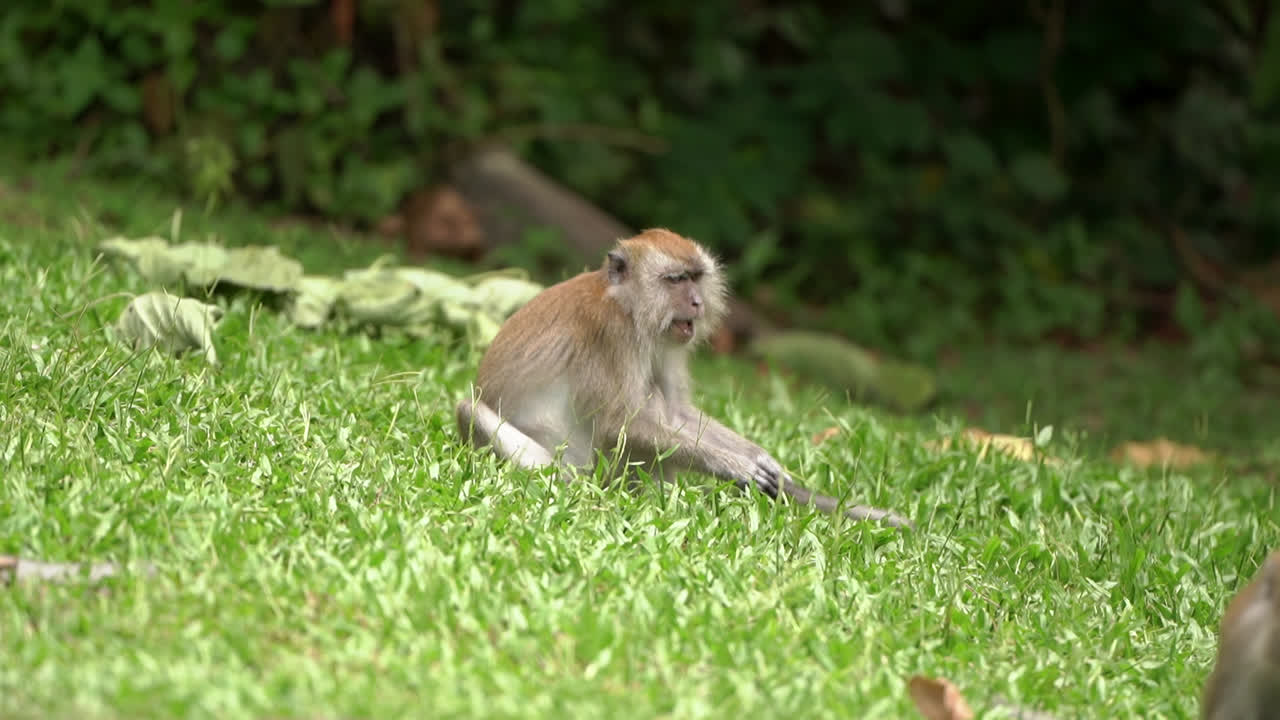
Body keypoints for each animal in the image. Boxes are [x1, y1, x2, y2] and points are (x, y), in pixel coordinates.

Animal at [454, 228, 912, 530]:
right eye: (674, 280)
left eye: (695, 278)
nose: (695, 302)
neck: (628, 306)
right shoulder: (611, 336)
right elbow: (618, 424)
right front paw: (735, 465)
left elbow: (676, 412)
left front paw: (758, 456)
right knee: (469, 410)